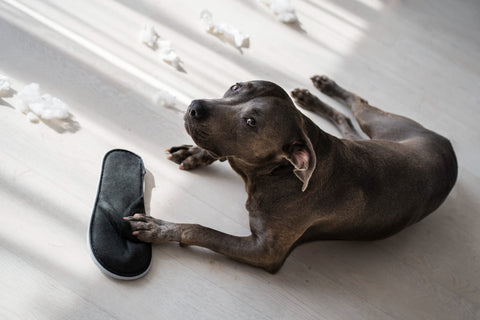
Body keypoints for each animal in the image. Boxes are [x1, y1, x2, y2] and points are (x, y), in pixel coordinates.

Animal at [126, 75, 458, 272]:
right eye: (236, 87)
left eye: (251, 122)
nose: (195, 106)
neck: (276, 173)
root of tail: (448, 147)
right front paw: (196, 153)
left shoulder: (265, 252)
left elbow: (200, 230)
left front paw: (161, 228)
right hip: (373, 136)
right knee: (347, 119)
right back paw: (318, 94)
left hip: (386, 125)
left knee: (360, 104)